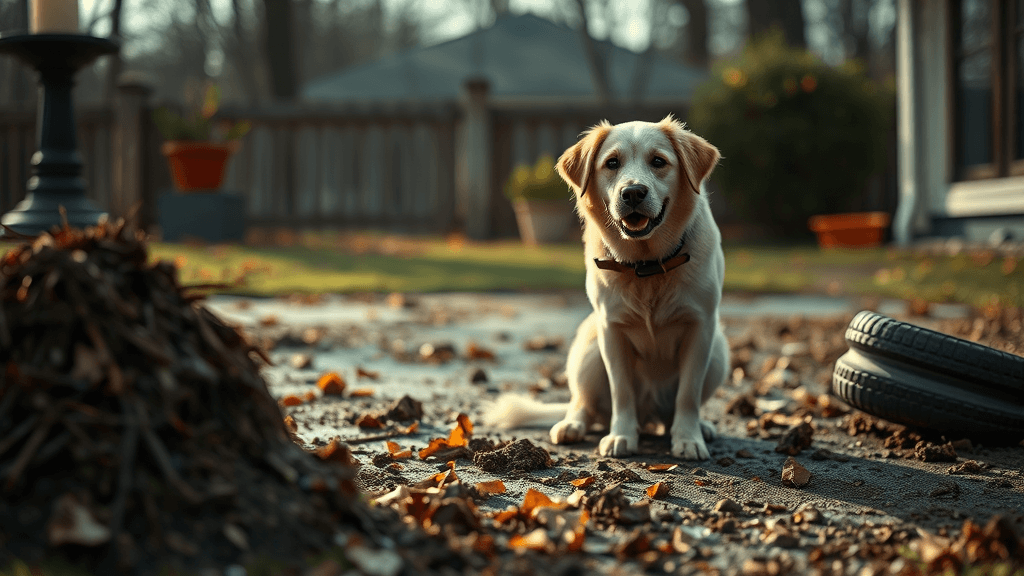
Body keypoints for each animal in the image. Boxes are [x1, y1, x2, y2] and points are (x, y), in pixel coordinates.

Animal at [485, 114, 729, 459]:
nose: (633, 193)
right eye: (612, 163)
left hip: (719, 351)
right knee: (584, 404)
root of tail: (649, 415)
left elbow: (688, 394)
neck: (646, 266)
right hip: (587, 350)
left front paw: (688, 438)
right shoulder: (610, 329)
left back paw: (699, 428)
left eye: (658, 161)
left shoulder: (702, 327)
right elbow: (621, 392)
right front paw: (621, 435)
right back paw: (572, 425)